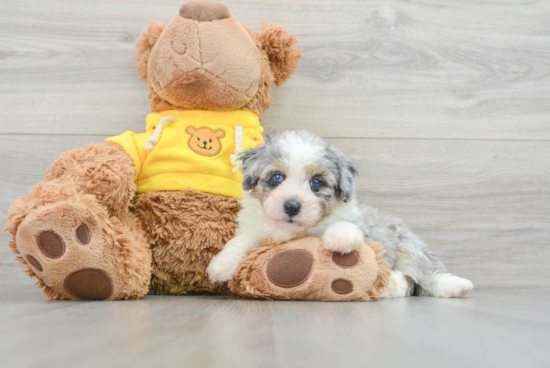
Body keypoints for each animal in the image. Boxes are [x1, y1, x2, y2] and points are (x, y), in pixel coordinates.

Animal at [207, 131, 474, 298]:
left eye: (316, 182)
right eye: (276, 177)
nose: (291, 207)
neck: (295, 231)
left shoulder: (358, 223)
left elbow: (345, 224)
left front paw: (340, 238)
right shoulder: (255, 229)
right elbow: (239, 242)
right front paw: (220, 265)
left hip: (411, 248)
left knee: (426, 275)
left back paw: (456, 285)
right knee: (407, 283)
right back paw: (389, 286)